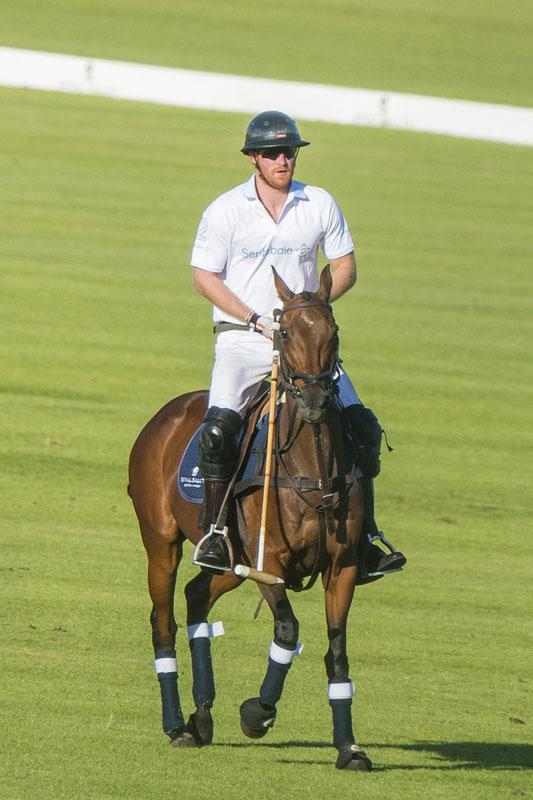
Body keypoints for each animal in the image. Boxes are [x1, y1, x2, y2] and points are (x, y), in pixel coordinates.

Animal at [127, 268, 372, 768]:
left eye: (334, 332)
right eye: (284, 332)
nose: (315, 401)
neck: (311, 468)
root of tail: (165, 414)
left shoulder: (344, 566)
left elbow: (337, 651)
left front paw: (348, 747)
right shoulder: (270, 563)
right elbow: (287, 630)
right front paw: (257, 712)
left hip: (231, 561)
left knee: (197, 594)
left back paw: (202, 715)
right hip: (161, 541)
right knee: (163, 620)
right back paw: (176, 725)